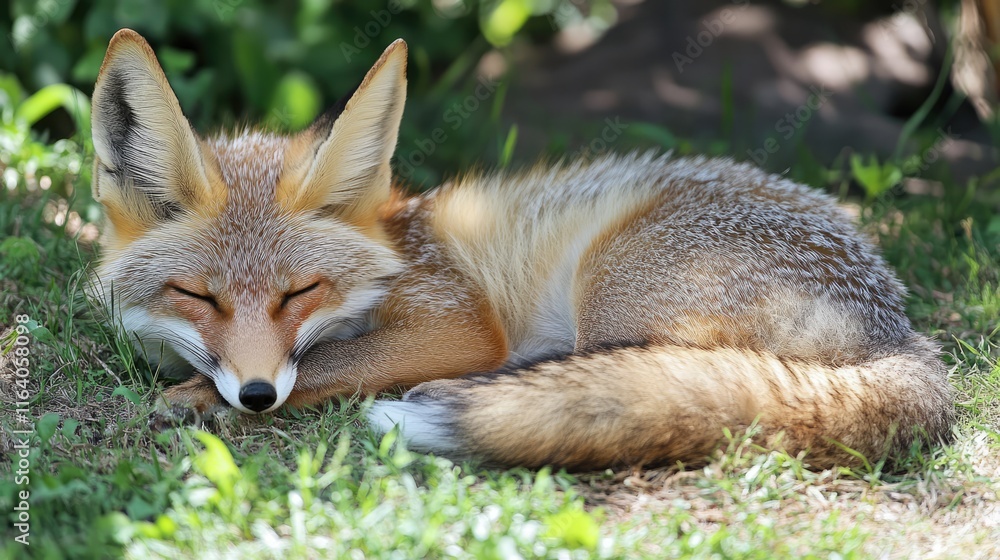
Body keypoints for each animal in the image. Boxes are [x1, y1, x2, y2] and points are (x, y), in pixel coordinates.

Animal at [90, 29, 953, 470]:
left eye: (299, 293)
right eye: (198, 296)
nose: (257, 394)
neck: (395, 248)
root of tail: (903, 334)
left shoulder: (455, 320)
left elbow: (336, 361)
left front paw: (195, 401)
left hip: (608, 285)